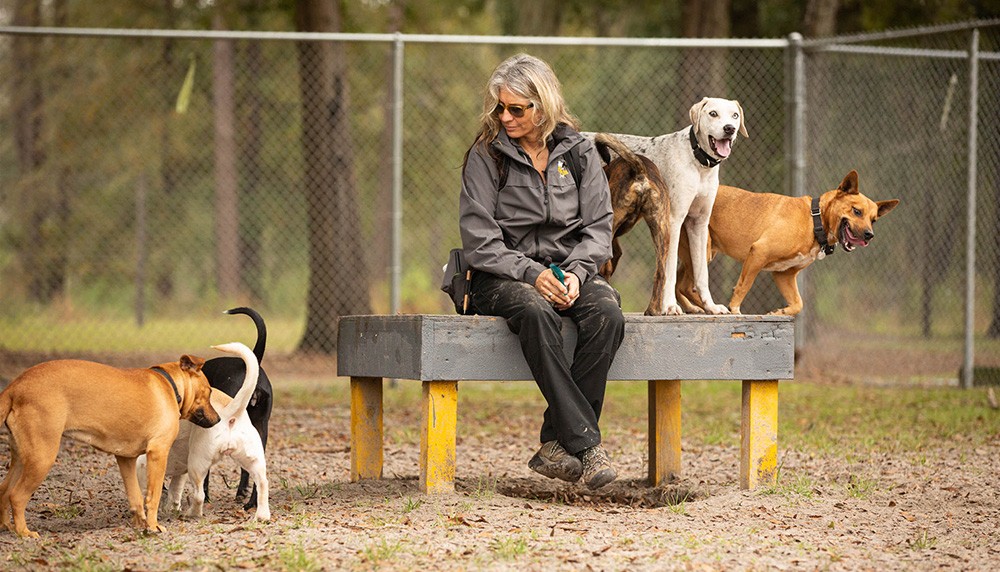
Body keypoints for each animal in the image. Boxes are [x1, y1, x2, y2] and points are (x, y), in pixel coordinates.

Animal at [0, 354, 220, 536]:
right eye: (209, 392)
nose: (218, 419)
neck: (171, 386)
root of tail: (16, 385)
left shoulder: (126, 458)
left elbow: (135, 497)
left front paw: (140, 525)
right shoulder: (158, 453)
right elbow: (153, 496)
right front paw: (153, 526)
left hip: (22, 458)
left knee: (4, 490)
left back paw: (7, 526)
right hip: (41, 458)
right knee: (16, 496)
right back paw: (23, 532)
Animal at [676, 170, 904, 318]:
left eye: (874, 220)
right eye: (857, 211)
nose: (869, 235)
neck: (814, 220)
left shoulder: (784, 275)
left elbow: (798, 304)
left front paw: (781, 311)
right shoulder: (759, 252)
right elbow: (743, 286)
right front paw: (735, 310)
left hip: (694, 255)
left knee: (679, 284)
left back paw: (694, 308)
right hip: (702, 253)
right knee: (689, 286)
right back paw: (712, 308)